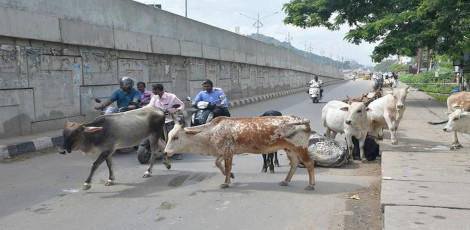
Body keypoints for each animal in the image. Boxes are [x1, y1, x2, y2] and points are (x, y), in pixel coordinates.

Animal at [162, 116, 316, 190]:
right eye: (168, 136)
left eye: (175, 137)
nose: (166, 152)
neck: (211, 132)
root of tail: (302, 120)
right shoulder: (223, 152)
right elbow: (217, 163)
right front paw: (231, 176)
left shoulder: (228, 152)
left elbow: (227, 166)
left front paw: (226, 182)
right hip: (289, 148)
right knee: (294, 163)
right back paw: (285, 181)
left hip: (300, 147)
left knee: (309, 163)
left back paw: (311, 185)